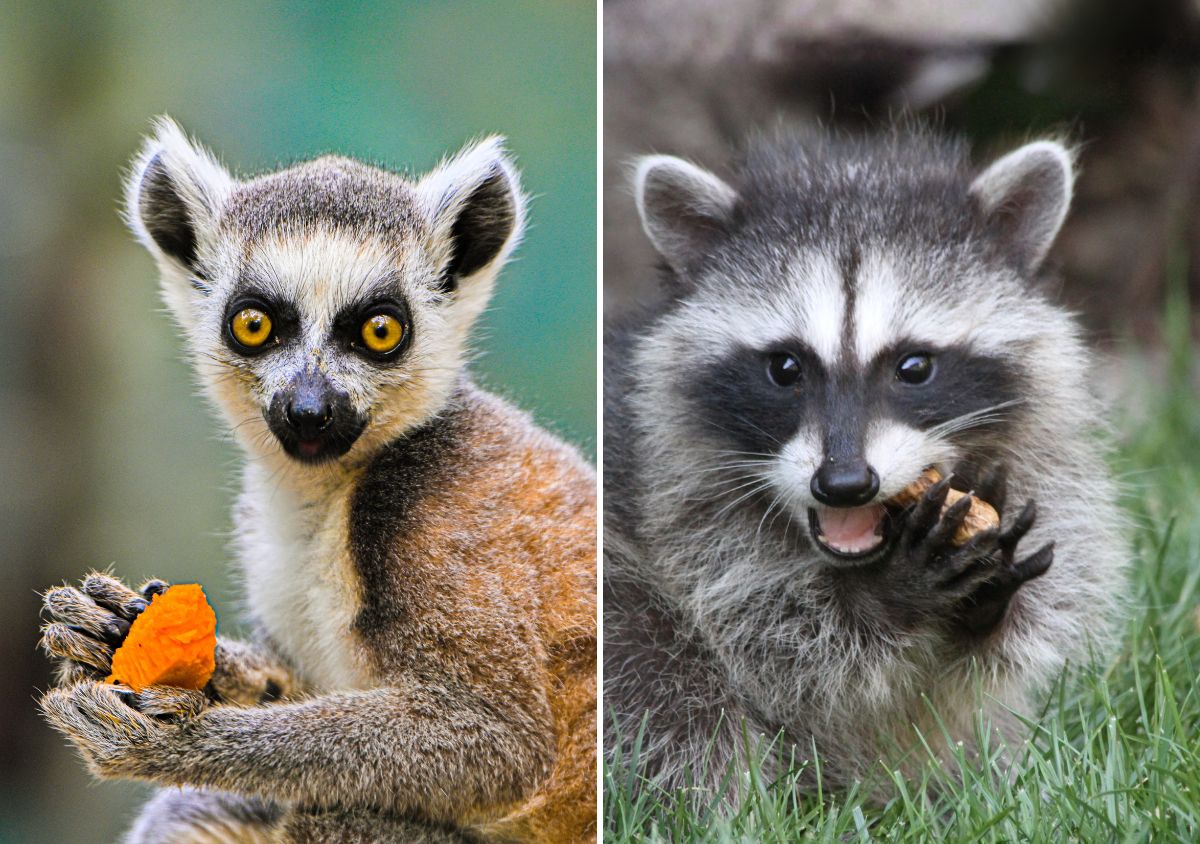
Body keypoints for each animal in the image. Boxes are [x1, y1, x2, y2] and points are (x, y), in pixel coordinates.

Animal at [604, 129, 1126, 797]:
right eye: (785, 367)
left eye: (915, 366)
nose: (845, 483)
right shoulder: (673, 503)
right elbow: (777, 639)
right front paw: (890, 596)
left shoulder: (1040, 463)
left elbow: (1037, 609)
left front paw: (989, 592)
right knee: (668, 693)